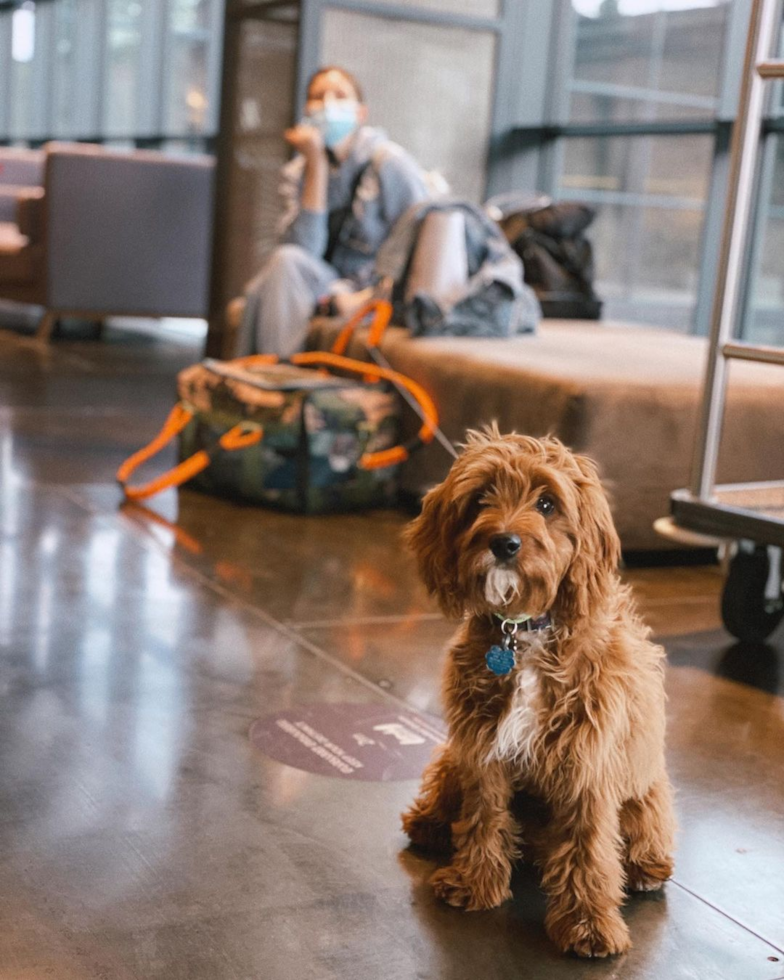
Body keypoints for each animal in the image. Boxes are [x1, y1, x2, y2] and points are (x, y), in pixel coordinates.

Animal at [404, 426, 672, 956]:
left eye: (547, 503)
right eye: (480, 498)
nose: (503, 542)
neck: (523, 630)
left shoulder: (588, 760)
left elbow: (589, 847)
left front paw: (588, 924)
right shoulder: (481, 746)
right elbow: (484, 816)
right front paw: (475, 884)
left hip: (646, 792)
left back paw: (645, 867)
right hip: (450, 758)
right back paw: (428, 824)